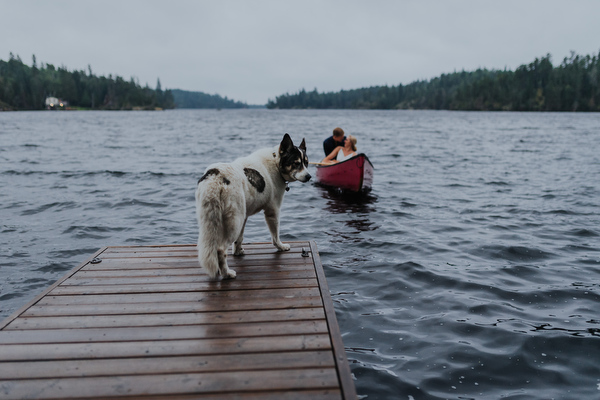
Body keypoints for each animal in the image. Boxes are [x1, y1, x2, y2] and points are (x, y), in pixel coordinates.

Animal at [196, 134, 312, 278]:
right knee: (220, 249)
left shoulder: (244, 216)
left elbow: (240, 238)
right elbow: (275, 235)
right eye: (296, 163)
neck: (276, 162)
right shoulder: (273, 212)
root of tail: (216, 178)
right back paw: (227, 273)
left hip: (213, 220)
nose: (309, 176)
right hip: (234, 221)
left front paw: (238, 252)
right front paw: (281, 247)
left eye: (306, 163)